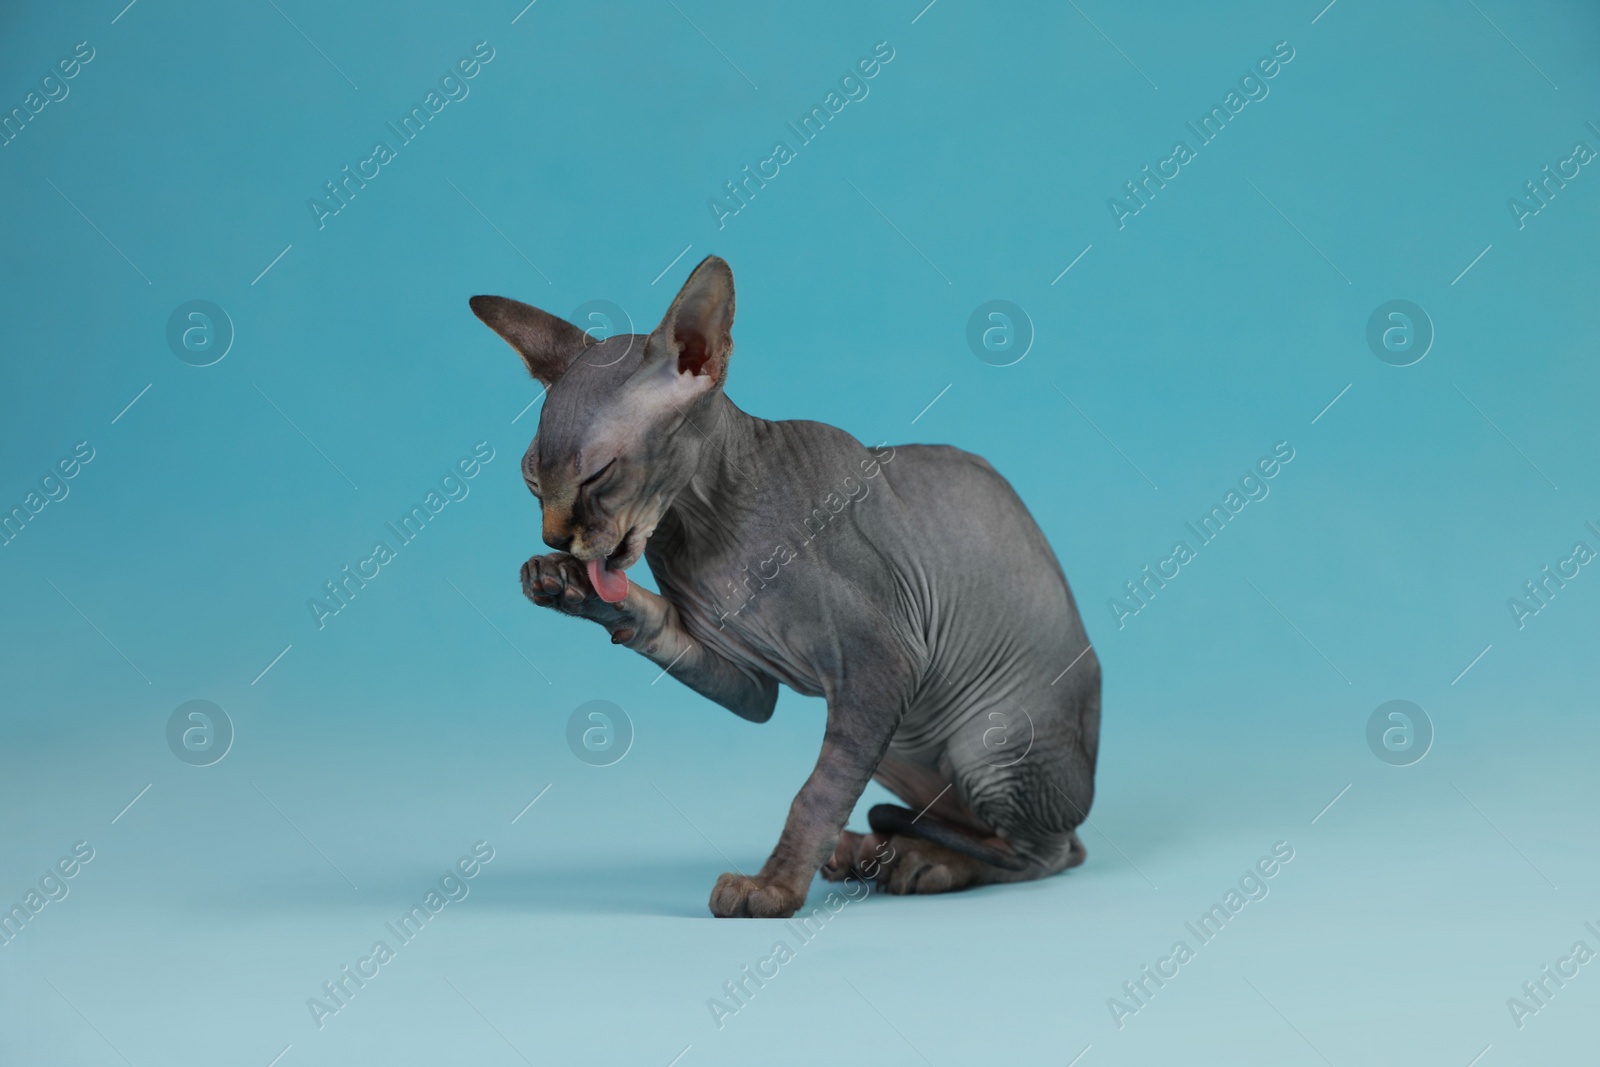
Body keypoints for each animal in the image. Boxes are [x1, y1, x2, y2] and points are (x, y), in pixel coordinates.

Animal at [470, 259, 1100, 921]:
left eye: (597, 475)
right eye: (532, 480)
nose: (555, 537)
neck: (705, 526)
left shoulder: (883, 665)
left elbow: (816, 793)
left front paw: (772, 888)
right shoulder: (755, 686)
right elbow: (653, 623)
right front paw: (568, 587)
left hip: (981, 734)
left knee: (1039, 854)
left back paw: (924, 861)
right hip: (904, 738)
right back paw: (877, 850)